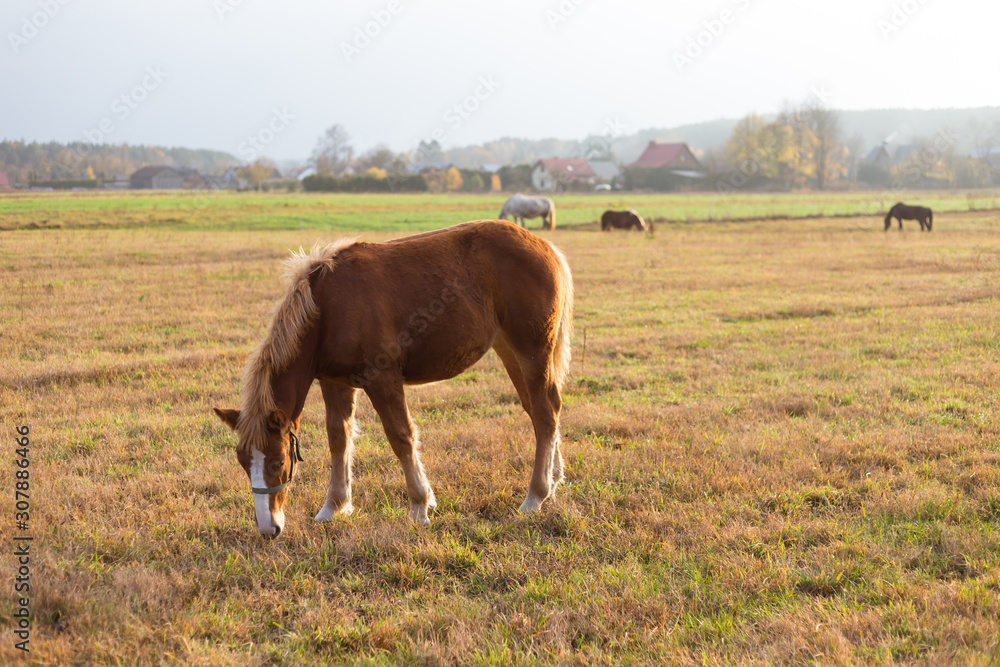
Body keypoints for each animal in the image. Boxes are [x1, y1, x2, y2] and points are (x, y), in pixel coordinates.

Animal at [214, 220, 574, 538]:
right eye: (243, 463)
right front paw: (334, 506)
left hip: (532, 350)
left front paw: (420, 505)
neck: (328, 309)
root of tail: (547, 248)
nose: (268, 530)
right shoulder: (335, 381)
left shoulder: (383, 379)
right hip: (510, 350)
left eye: (278, 462)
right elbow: (338, 438)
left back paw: (535, 496)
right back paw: (554, 479)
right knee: (541, 409)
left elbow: (401, 437)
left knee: (545, 413)